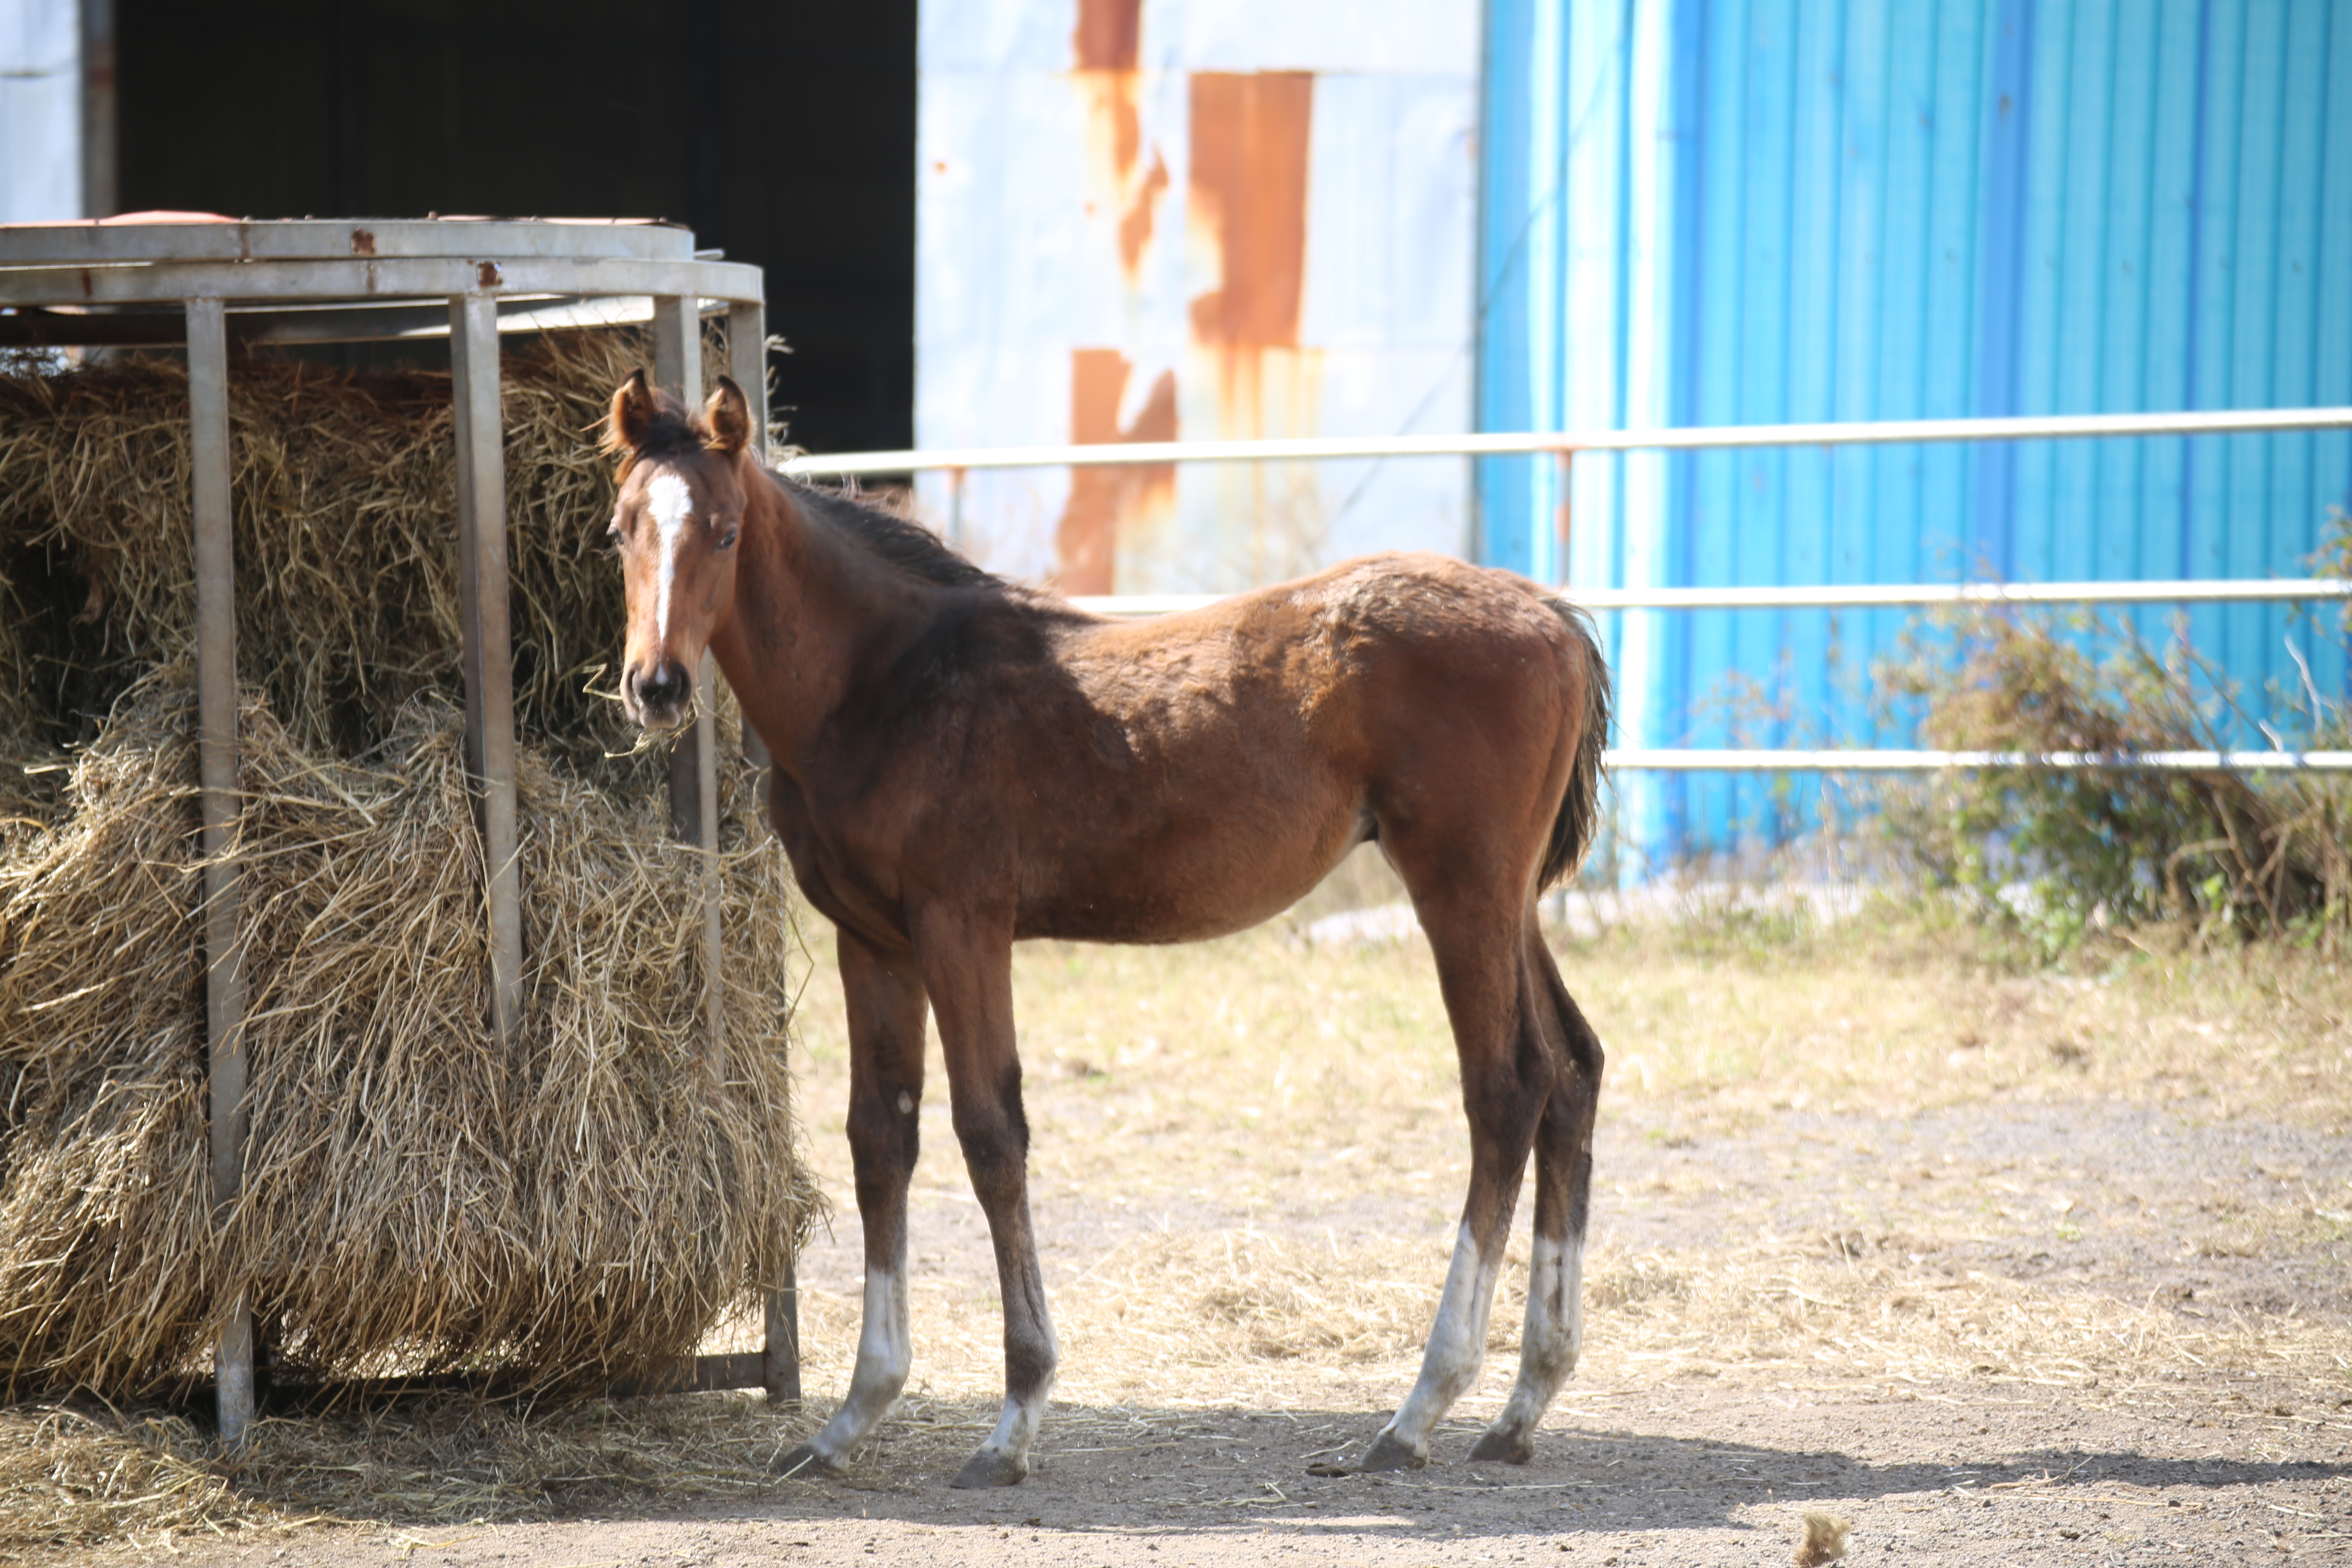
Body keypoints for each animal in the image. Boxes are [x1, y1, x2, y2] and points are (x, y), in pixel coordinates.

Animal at [597, 374, 1608, 1495]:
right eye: (622, 530)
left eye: (726, 533)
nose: (654, 687)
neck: (884, 683)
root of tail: (1551, 615)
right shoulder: (876, 942)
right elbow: (879, 1140)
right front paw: (851, 1418)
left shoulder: (962, 926)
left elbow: (991, 1135)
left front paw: (1013, 1421)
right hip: (1509, 902)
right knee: (1571, 1070)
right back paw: (1522, 1403)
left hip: (1459, 890)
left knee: (1505, 1090)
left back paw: (1418, 1409)